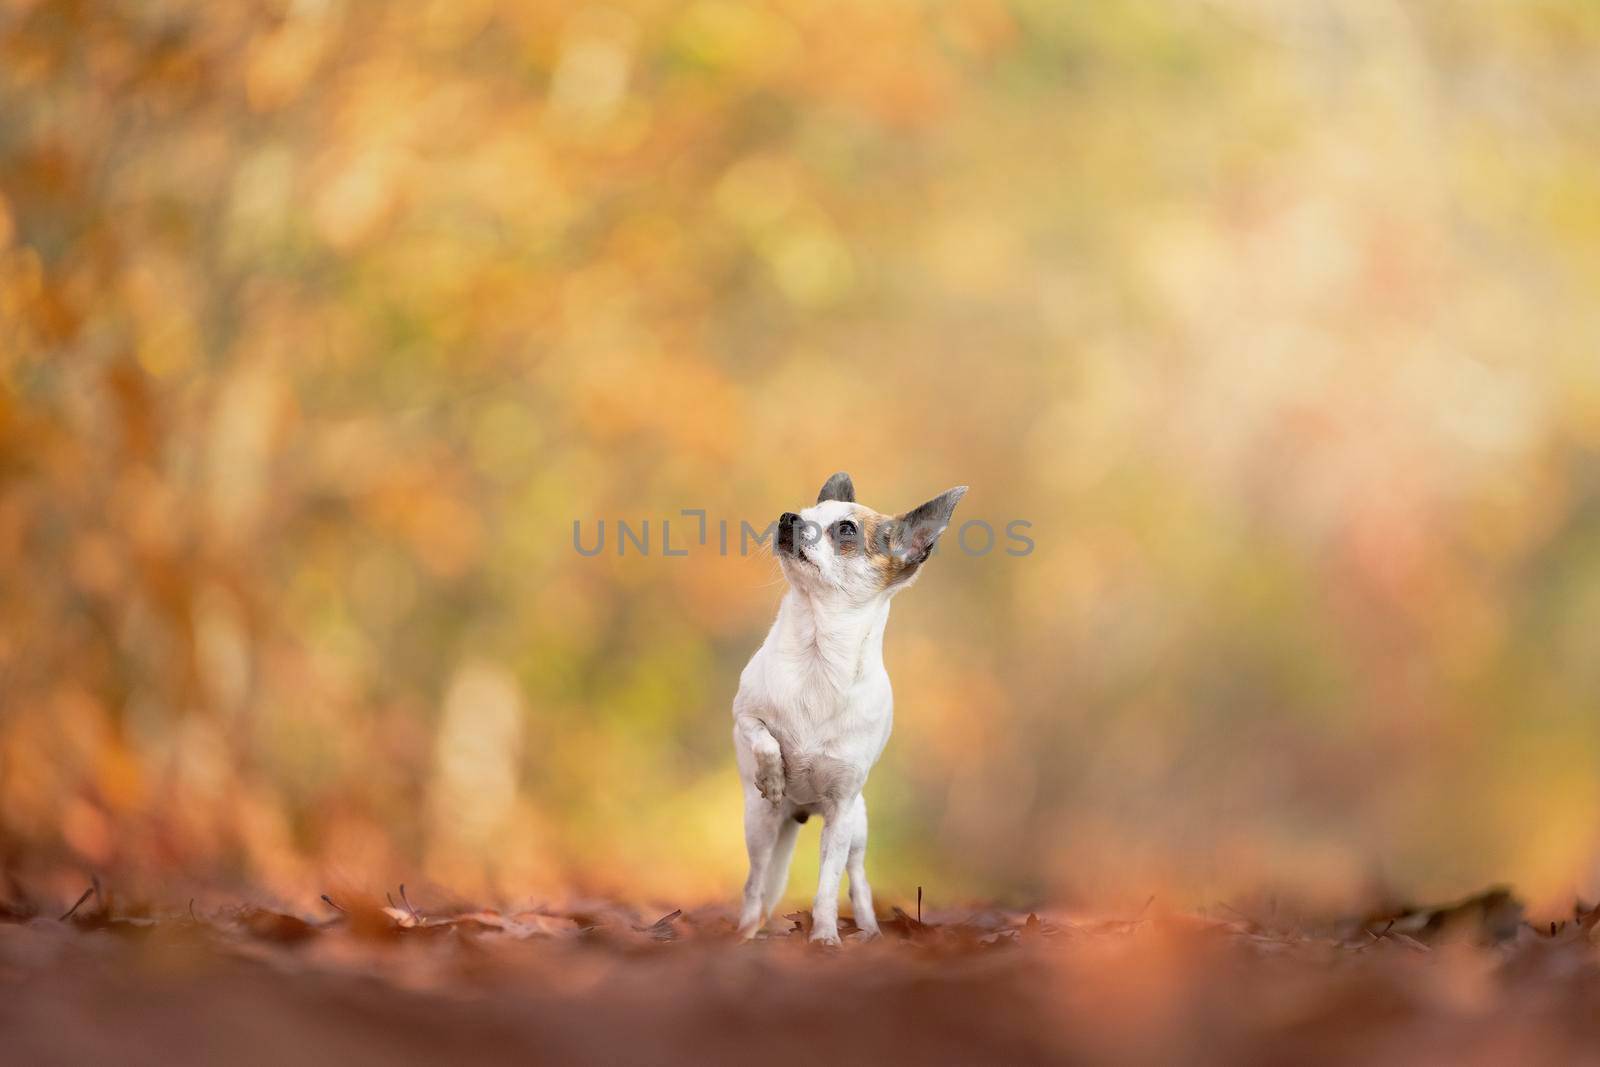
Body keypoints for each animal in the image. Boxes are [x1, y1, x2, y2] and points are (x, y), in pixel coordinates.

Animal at [732, 473, 966, 940]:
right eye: (804, 512)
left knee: (856, 880)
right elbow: (765, 739)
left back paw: (870, 930)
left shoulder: (840, 811)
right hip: (761, 824)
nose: (788, 517)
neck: (819, 655)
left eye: (845, 529)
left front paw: (825, 937)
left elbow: (827, 885)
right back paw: (747, 932)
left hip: (857, 829)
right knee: (756, 882)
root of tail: (801, 813)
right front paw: (773, 774)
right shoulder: (743, 716)